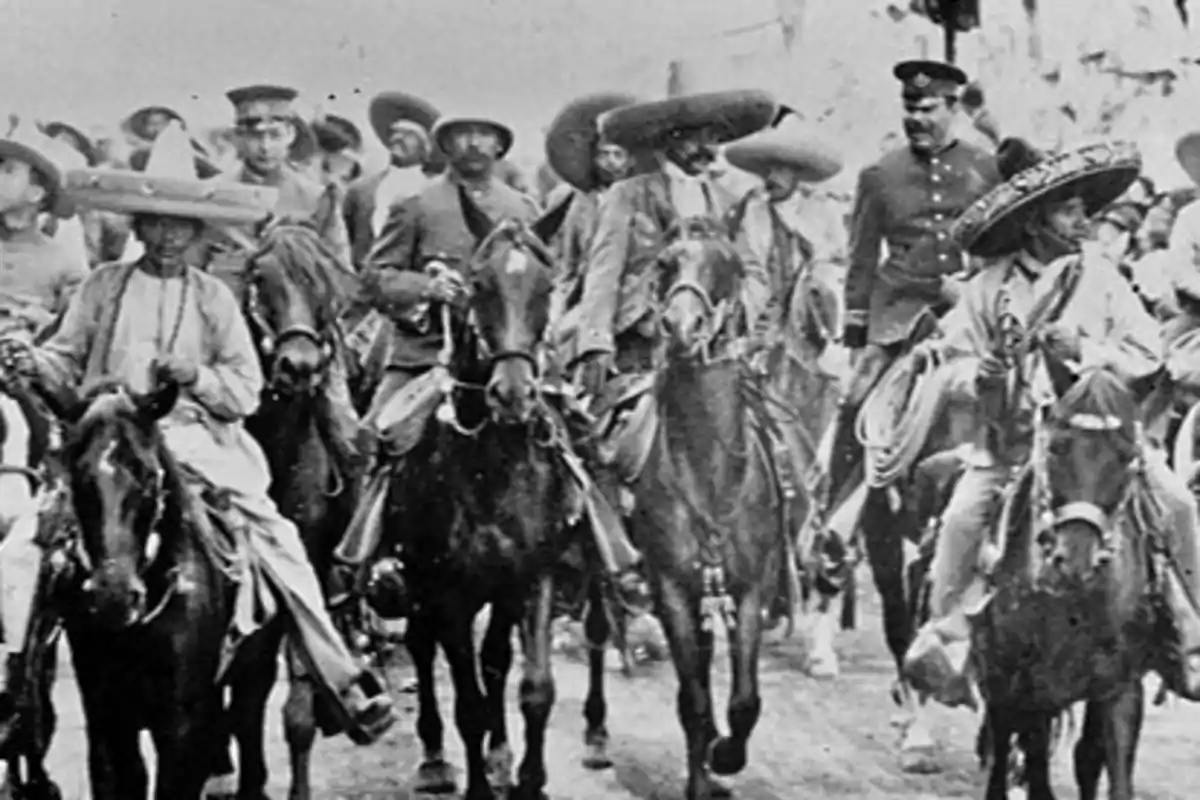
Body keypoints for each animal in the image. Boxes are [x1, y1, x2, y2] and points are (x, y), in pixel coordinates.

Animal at [376, 188, 578, 800]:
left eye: (547, 286)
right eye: (478, 284)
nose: (512, 395)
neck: (495, 469)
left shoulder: (530, 578)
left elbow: (531, 686)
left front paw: (526, 778)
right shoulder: (448, 592)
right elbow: (466, 699)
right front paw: (478, 783)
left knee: (494, 663)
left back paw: (498, 754)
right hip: (416, 585)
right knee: (422, 649)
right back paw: (436, 758)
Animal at [619, 214, 796, 800]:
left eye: (730, 265)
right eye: (665, 262)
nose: (681, 326)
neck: (710, 473)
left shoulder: (752, 587)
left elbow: (745, 700)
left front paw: (727, 754)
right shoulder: (672, 588)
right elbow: (693, 699)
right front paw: (705, 771)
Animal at [969, 364, 1166, 800]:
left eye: (1127, 456)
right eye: (1057, 447)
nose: (1073, 562)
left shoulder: (1120, 688)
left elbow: (1111, 770)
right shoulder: (1018, 681)